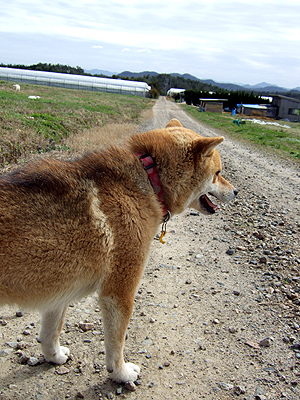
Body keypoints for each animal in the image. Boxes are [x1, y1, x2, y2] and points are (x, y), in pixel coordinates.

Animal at [0, 119, 239, 384]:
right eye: (218, 173)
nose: (236, 191)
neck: (150, 177)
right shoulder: (118, 292)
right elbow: (117, 343)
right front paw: (121, 373)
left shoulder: (60, 290)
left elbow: (51, 332)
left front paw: (54, 356)